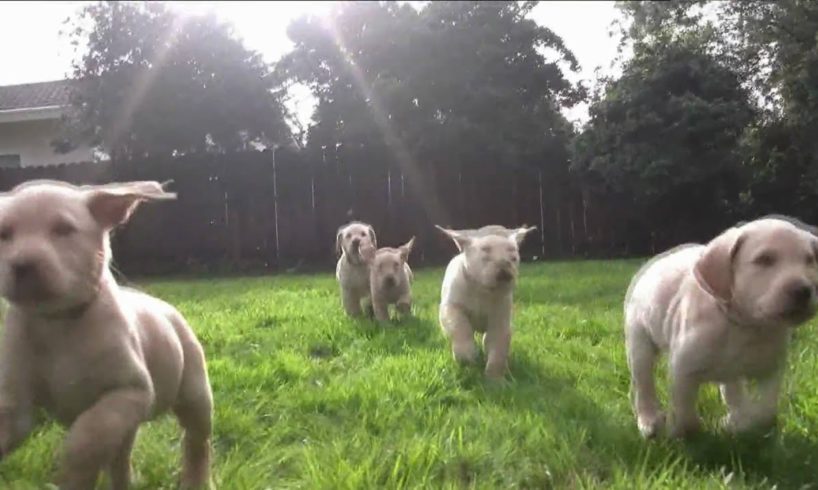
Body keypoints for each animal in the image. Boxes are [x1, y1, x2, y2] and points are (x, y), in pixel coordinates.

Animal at [0, 180, 214, 490]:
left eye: (63, 229)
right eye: (4, 234)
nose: (22, 265)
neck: (57, 322)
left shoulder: (129, 391)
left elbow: (86, 436)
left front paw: (71, 475)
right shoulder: (14, 405)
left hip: (194, 390)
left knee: (197, 441)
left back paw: (196, 481)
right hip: (130, 423)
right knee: (120, 455)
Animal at [434, 224, 536, 378]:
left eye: (514, 257)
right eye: (485, 252)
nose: (504, 263)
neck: (482, 291)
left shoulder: (501, 314)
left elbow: (498, 343)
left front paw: (495, 381)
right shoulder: (450, 306)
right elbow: (459, 326)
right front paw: (468, 359)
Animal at [624, 216, 816, 438]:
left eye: (810, 260)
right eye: (764, 259)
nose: (803, 290)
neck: (743, 326)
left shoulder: (771, 370)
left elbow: (766, 412)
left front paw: (739, 423)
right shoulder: (682, 369)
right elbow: (686, 416)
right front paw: (679, 431)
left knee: (733, 390)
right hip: (639, 344)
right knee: (643, 385)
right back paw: (649, 422)